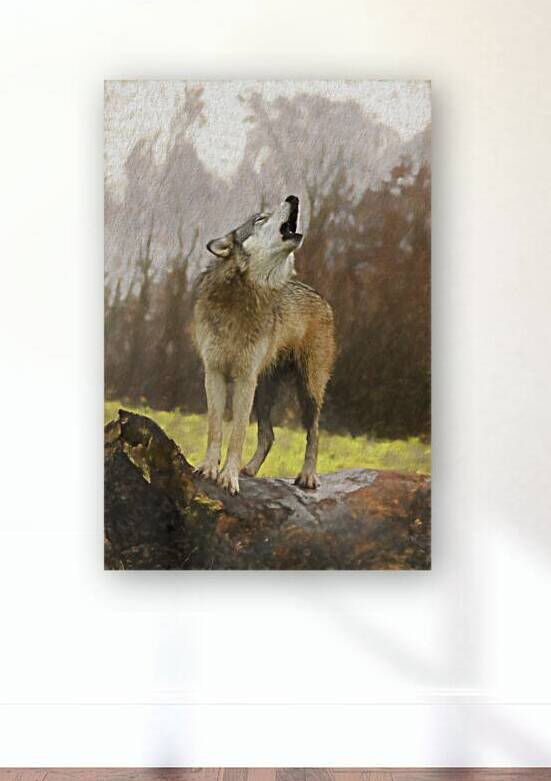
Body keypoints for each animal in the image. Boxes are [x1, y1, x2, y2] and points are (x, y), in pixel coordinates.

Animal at [193, 195, 335, 495]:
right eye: (260, 219)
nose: (293, 197)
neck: (242, 297)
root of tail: (320, 296)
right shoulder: (214, 373)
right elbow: (215, 427)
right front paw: (209, 468)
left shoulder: (245, 379)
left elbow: (237, 434)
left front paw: (228, 477)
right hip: (264, 391)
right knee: (269, 435)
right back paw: (249, 470)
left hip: (307, 388)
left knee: (314, 432)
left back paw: (308, 476)